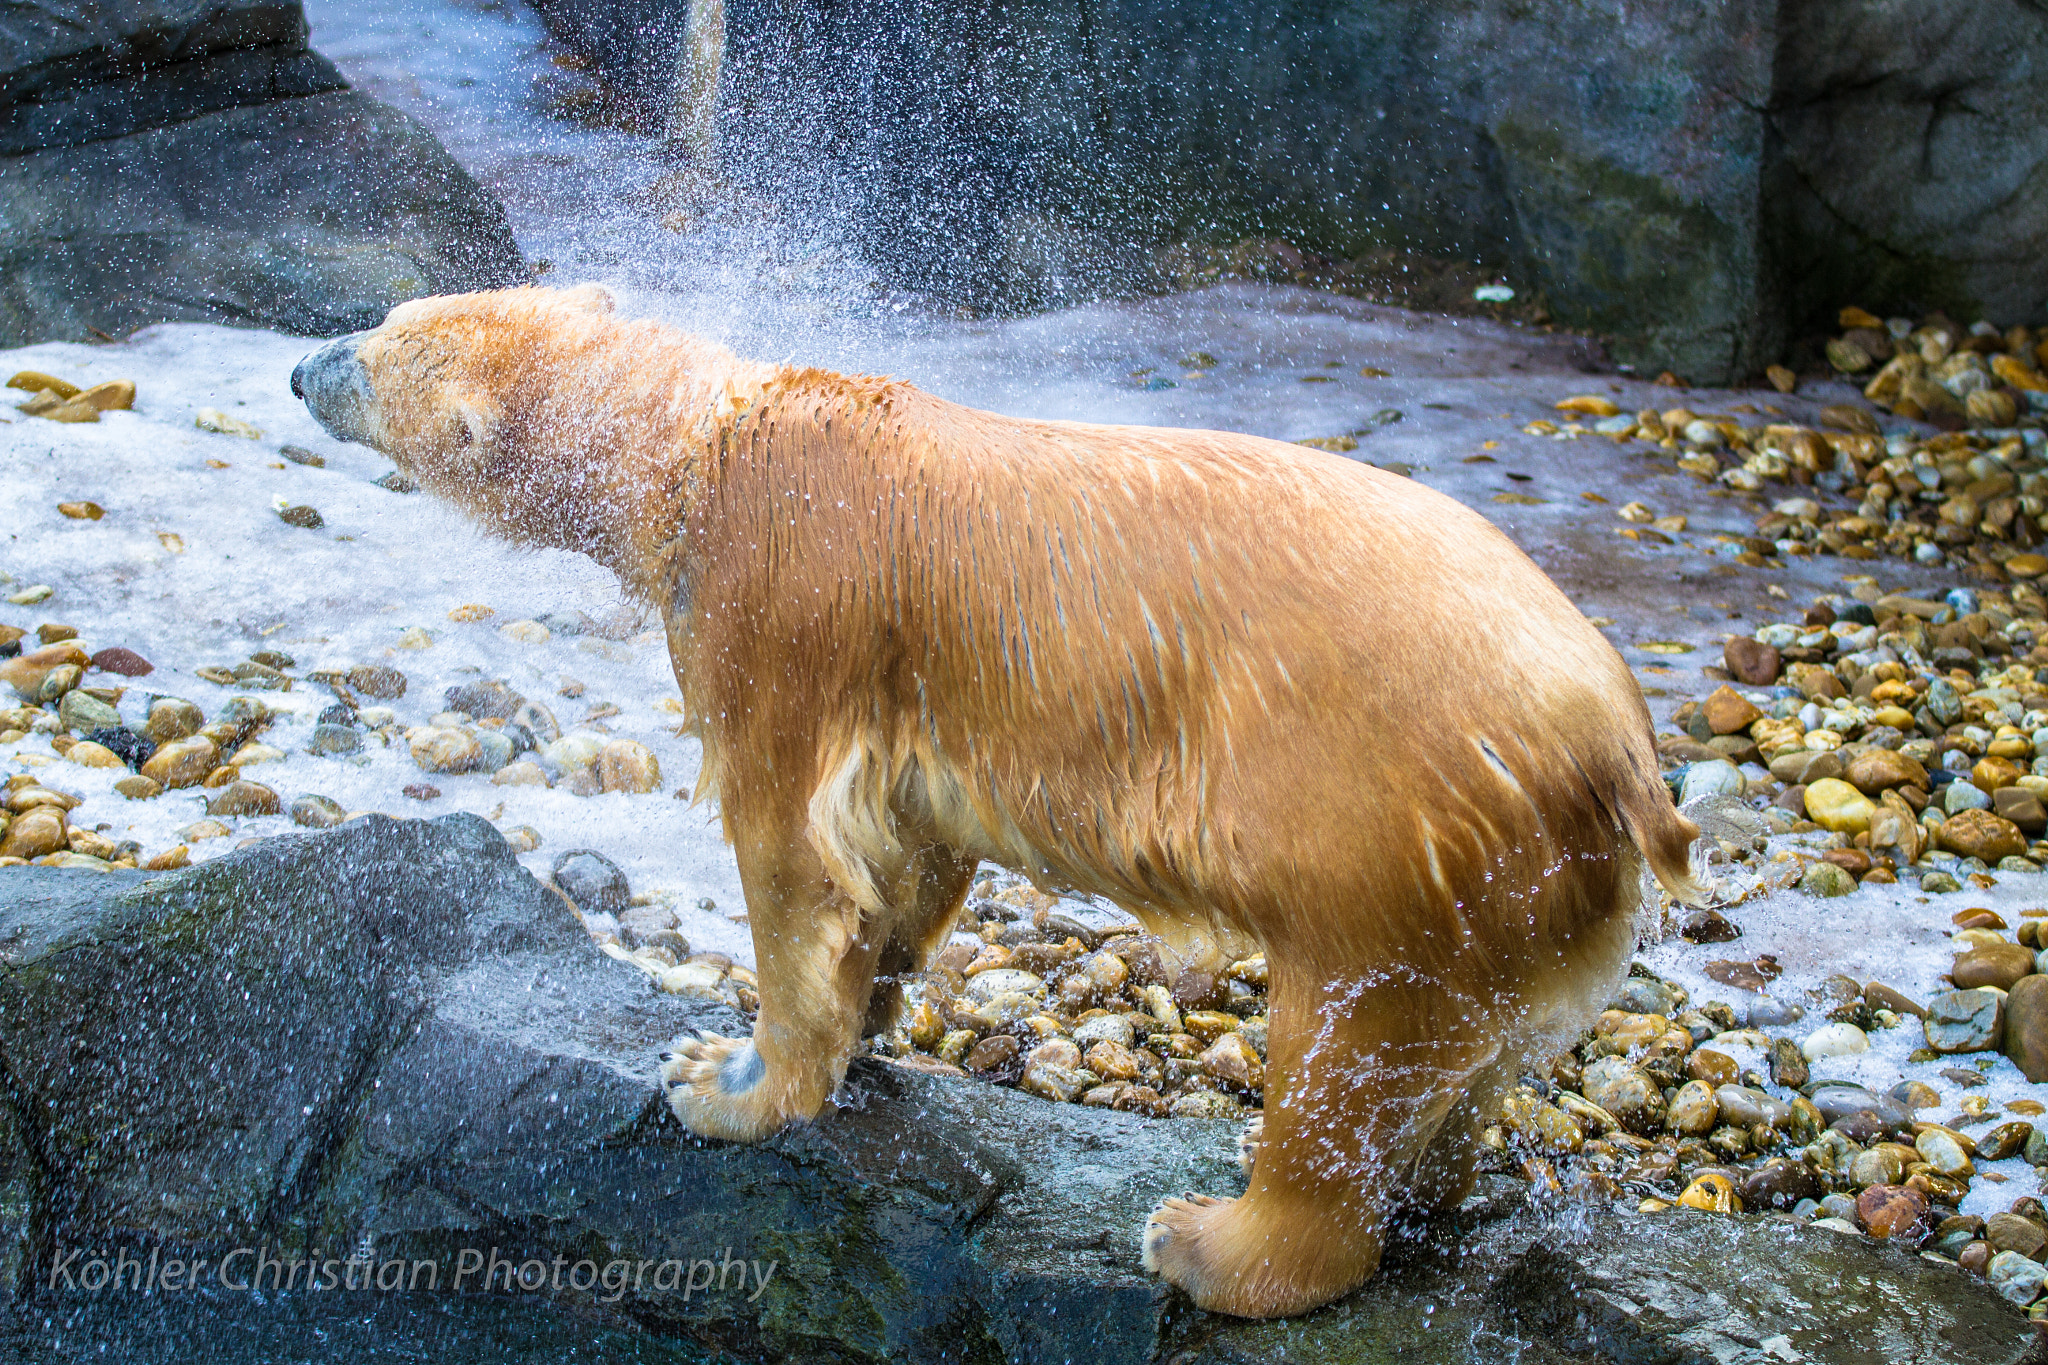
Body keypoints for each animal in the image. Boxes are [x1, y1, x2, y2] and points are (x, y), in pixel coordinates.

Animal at [292, 285, 1704, 1319]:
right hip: (1522, 887)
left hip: (1384, 826)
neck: (707, 442)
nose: (301, 366)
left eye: (378, 346)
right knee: (1467, 1055)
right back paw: (1439, 1189)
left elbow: (790, 853)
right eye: (396, 310)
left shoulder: (780, 608)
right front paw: (873, 1005)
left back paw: (1205, 1240)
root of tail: (1616, 747)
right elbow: (901, 849)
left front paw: (724, 1076)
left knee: (1350, 1046)